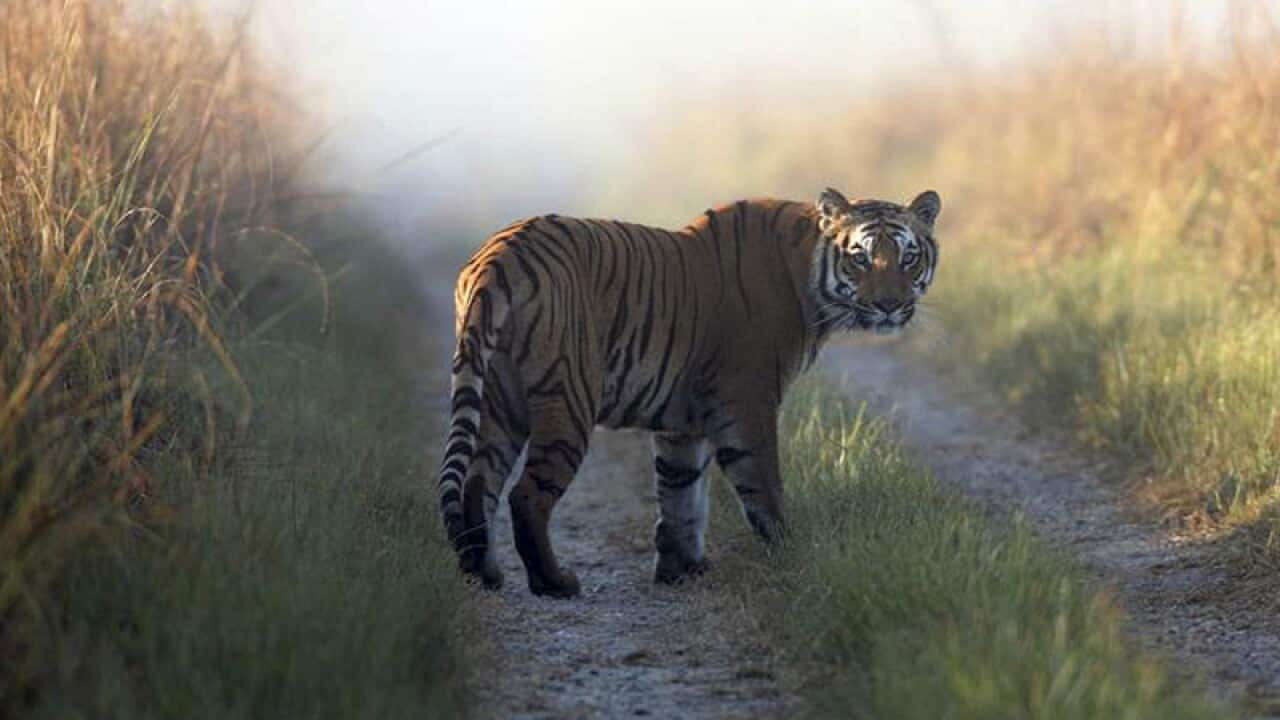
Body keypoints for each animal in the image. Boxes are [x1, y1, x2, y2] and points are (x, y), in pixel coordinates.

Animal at [438, 188, 941, 597]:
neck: (807, 276)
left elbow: (681, 491)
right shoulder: (748, 401)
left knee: (479, 480)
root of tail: (497, 258)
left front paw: (681, 569)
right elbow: (762, 486)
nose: (890, 305)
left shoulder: (683, 420)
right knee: (526, 495)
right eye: (860, 257)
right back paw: (553, 582)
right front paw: (793, 555)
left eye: (908, 258)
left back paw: (484, 572)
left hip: (500, 398)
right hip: (567, 398)